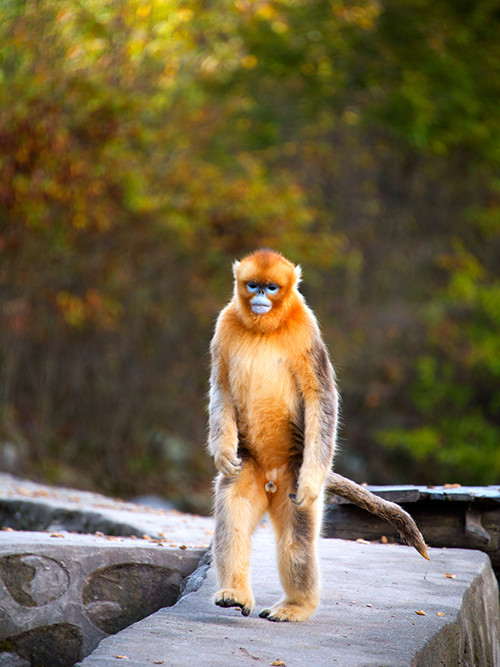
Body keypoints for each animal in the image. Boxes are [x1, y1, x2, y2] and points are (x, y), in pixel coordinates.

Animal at [209, 248, 428, 624]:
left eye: (271, 287)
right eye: (252, 285)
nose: (260, 296)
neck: (266, 328)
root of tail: (271, 477)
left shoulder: (306, 328)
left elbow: (320, 398)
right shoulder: (225, 323)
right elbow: (221, 386)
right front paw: (223, 453)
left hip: (294, 473)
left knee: (297, 541)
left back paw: (297, 606)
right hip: (250, 468)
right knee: (232, 515)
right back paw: (235, 593)